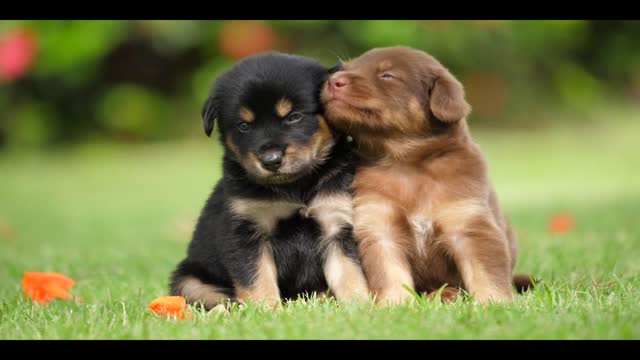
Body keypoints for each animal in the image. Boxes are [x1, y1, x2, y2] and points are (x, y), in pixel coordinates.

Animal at [170, 52, 370, 308]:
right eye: (244, 125)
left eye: (294, 117)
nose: (271, 160)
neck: (295, 186)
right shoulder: (246, 231)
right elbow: (257, 278)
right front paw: (266, 309)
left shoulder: (336, 224)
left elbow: (350, 273)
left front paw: (361, 305)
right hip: (189, 279)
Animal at [320, 46, 524, 306]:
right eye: (346, 68)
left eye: (387, 75)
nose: (333, 81)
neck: (406, 164)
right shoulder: (379, 226)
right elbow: (390, 272)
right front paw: (394, 304)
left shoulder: (469, 223)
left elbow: (486, 273)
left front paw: (493, 303)